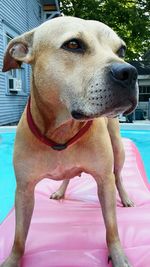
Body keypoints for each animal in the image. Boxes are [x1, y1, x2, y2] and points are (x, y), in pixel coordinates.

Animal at [1, 16, 138, 267]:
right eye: (73, 45)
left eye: (121, 50)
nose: (129, 72)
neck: (62, 129)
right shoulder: (24, 191)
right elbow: (18, 237)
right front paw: (13, 259)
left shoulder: (104, 182)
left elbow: (112, 228)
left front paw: (118, 255)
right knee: (68, 175)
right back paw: (60, 191)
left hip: (118, 149)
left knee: (119, 175)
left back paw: (125, 197)